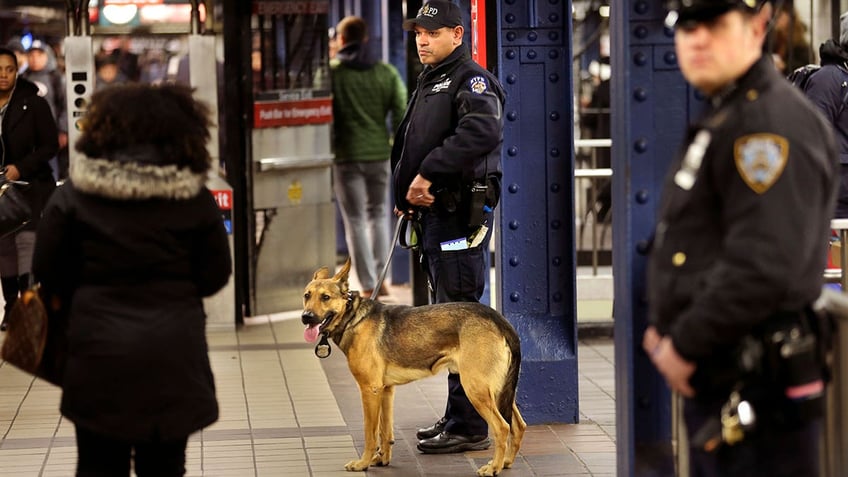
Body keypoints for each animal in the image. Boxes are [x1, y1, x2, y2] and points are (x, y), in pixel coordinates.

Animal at [302, 258, 528, 474]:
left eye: (325, 297)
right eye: (306, 296)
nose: (306, 317)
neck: (353, 317)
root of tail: (499, 319)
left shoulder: (370, 390)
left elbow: (370, 433)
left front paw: (363, 463)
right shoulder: (385, 390)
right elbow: (385, 431)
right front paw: (382, 459)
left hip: (476, 388)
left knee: (502, 428)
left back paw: (493, 468)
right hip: (498, 390)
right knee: (518, 426)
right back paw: (506, 462)